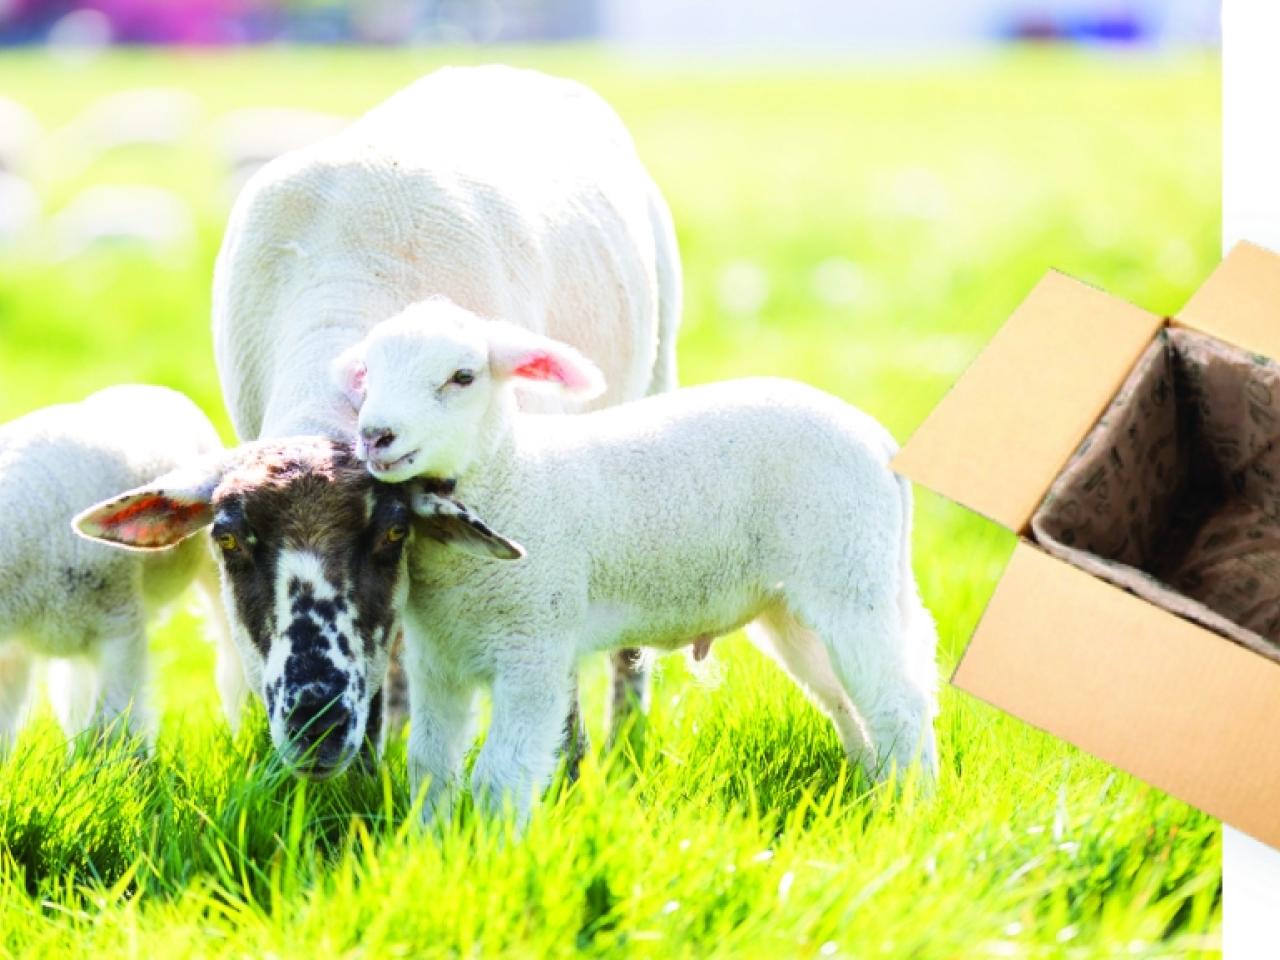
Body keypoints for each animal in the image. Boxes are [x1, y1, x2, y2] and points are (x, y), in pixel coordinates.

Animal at [72, 64, 680, 778]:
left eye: (391, 533)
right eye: (227, 540)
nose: (316, 723)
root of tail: (507, 70)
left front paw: (567, 768)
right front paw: (368, 766)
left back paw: (627, 735)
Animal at [337, 302, 942, 829]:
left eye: (462, 377)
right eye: (368, 375)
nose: (376, 436)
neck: (514, 475)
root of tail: (878, 440)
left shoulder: (534, 646)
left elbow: (500, 777)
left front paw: (492, 851)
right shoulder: (438, 660)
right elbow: (430, 768)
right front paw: (431, 847)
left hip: (851, 574)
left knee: (901, 706)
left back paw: (912, 814)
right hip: (797, 604)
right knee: (848, 702)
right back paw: (875, 794)